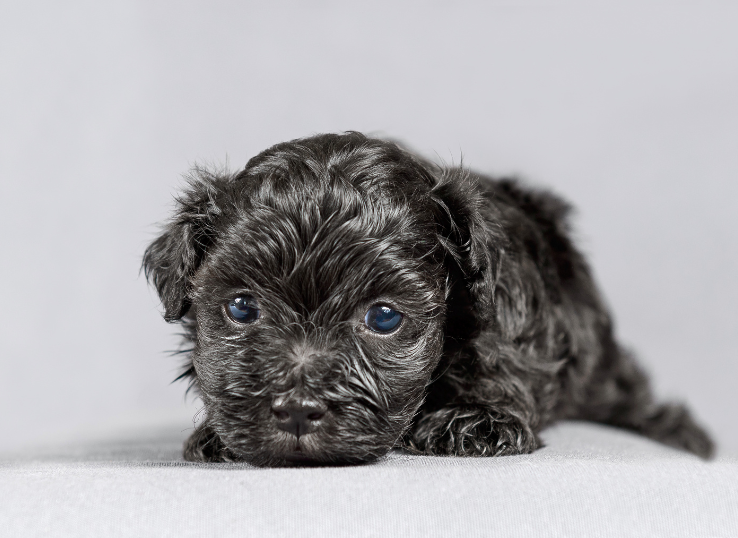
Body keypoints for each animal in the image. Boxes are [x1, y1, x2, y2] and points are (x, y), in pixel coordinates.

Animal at [141, 132, 712, 462]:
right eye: (242, 308)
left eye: (384, 318)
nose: (298, 411)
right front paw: (217, 435)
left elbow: (500, 353)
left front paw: (476, 419)